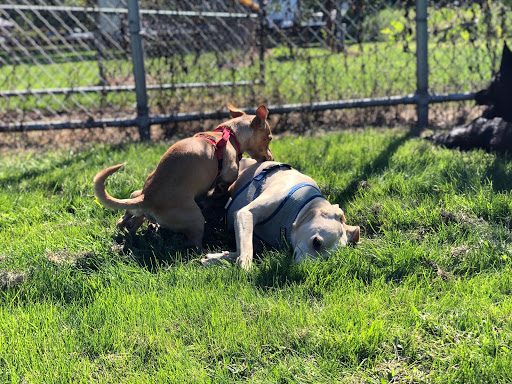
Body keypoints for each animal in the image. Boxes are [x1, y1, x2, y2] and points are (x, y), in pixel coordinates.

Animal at [94, 105, 274, 248]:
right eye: (270, 138)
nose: (272, 158)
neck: (230, 134)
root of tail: (147, 198)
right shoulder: (226, 176)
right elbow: (220, 188)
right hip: (195, 219)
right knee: (191, 243)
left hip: (136, 194)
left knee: (127, 219)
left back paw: (134, 224)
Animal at [201, 158, 360, 268]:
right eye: (316, 242)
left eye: (326, 258)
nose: (303, 272)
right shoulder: (245, 213)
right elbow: (246, 248)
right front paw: (244, 267)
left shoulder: (261, 244)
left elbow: (244, 248)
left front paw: (218, 257)